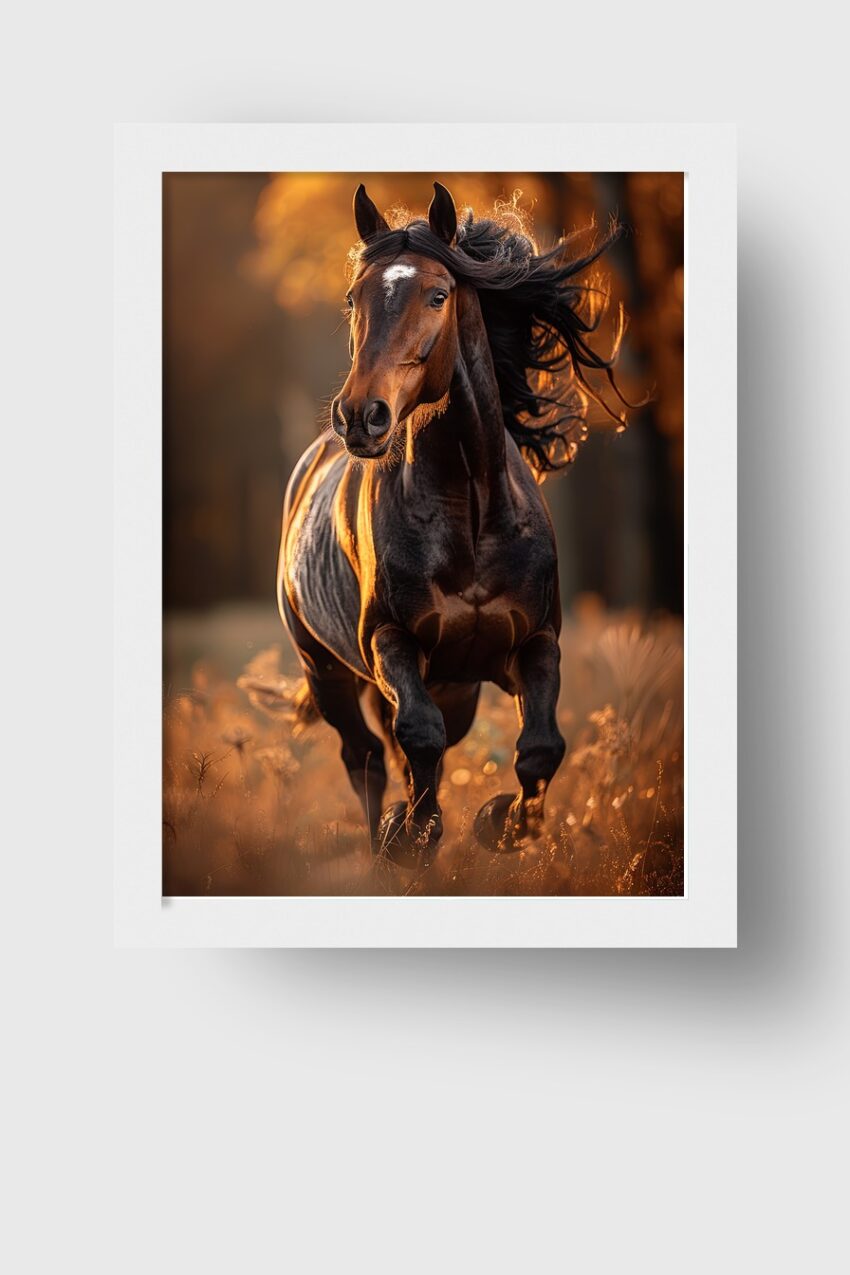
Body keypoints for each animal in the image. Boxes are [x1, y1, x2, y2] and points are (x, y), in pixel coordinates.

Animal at [278, 181, 628, 859]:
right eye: (354, 298)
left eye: (438, 295)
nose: (360, 416)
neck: (470, 518)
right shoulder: (391, 641)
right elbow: (419, 738)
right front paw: (413, 834)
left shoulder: (536, 642)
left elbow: (539, 748)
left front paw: (502, 824)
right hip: (326, 669)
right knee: (367, 757)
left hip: (455, 686)